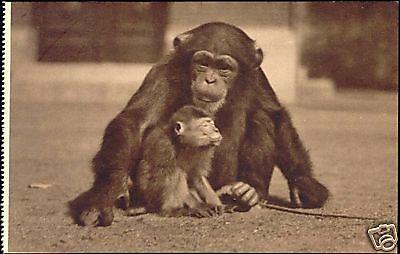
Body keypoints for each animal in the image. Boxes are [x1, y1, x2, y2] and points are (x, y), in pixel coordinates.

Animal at [68, 21, 328, 226]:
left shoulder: (258, 76)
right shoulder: (163, 69)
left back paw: (249, 193)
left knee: (260, 118)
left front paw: (304, 185)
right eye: (202, 63)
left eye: (224, 68)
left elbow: (274, 114)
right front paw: (105, 193)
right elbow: (137, 122)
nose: (210, 79)